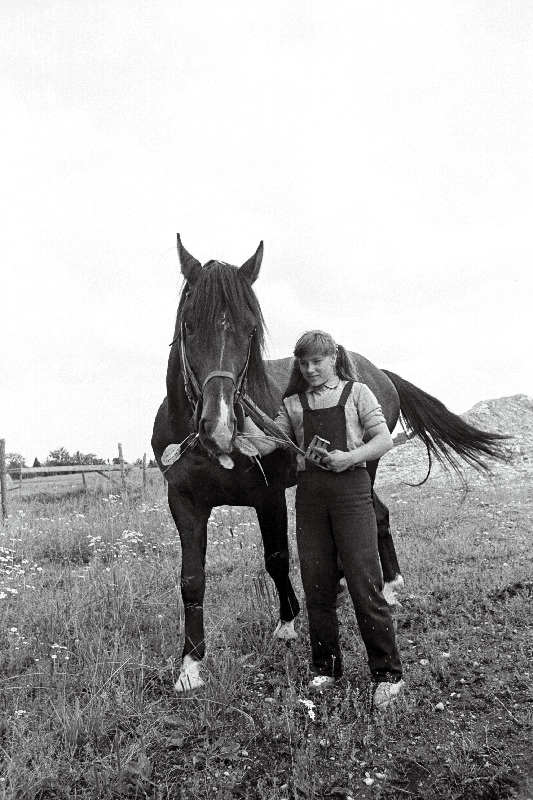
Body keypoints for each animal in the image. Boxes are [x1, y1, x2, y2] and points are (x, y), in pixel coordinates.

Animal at [151, 234, 508, 692]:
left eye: (251, 330)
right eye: (189, 324)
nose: (220, 426)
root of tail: (378, 372)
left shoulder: (267, 497)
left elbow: (276, 558)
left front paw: (287, 623)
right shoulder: (185, 503)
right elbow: (192, 579)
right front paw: (191, 665)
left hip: (364, 467)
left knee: (373, 516)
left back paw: (390, 585)